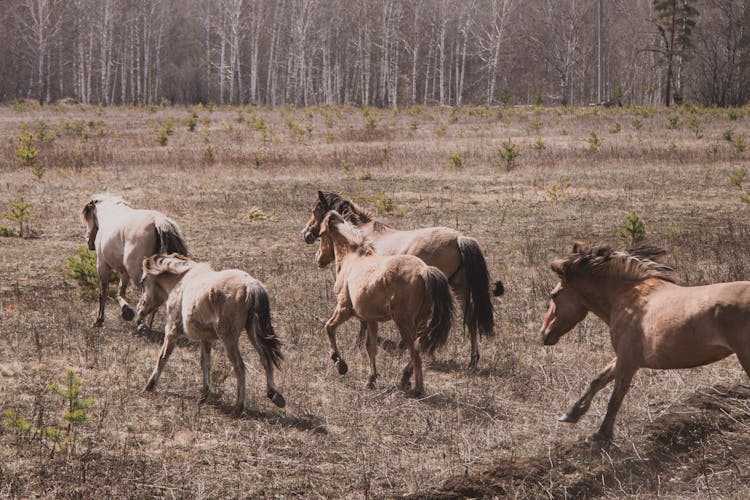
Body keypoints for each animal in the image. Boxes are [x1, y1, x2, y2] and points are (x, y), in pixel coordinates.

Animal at [80, 194, 188, 328]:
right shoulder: (124, 272)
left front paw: (99, 320)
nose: (89, 242)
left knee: (148, 296)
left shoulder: (102, 265)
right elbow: (120, 292)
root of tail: (158, 221)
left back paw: (141, 323)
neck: (110, 213)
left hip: (137, 273)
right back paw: (146, 325)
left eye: (88, 218)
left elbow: (103, 292)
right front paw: (126, 311)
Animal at [137, 254, 286, 414]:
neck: (181, 280)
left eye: (143, 281)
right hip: (253, 334)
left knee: (240, 367)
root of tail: (250, 285)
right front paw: (204, 395)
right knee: (265, 359)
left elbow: (162, 357)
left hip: (229, 339)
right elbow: (206, 364)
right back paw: (274, 394)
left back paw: (238, 407)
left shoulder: (172, 332)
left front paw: (149, 386)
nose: (139, 310)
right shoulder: (206, 339)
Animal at [302, 189, 502, 370]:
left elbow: (362, 320)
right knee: (470, 318)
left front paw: (357, 345)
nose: (306, 234)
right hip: (459, 287)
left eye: (316, 210)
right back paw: (472, 360)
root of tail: (459, 238)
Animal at [316, 210, 456, 394]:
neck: (352, 258)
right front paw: (371, 379)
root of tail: (424, 270)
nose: (318, 259)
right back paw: (405, 379)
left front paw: (340, 364)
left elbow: (329, 327)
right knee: (418, 347)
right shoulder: (371, 319)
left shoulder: (344, 309)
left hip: (404, 322)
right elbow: (371, 347)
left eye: (320, 234)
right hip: (420, 321)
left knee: (415, 352)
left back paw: (417, 389)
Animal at [544, 242, 750, 442]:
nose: (544, 333)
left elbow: (615, 398)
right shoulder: (624, 357)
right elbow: (598, 380)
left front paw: (601, 436)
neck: (628, 299)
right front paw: (571, 414)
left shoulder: (628, 362)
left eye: (553, 295)